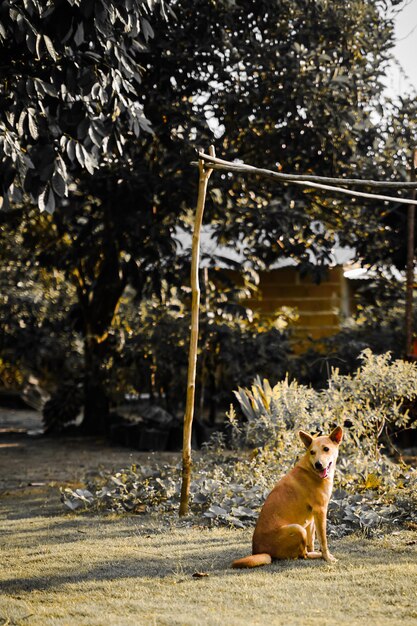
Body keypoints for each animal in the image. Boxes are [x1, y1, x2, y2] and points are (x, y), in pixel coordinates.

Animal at [231, 424, 342, 564]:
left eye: (326, 449)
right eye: (312, 452)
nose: (318, 464)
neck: (311, 469)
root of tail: (259, 551)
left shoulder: (312, 517)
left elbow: (311, 540)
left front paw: (318, 551)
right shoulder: (320, 511)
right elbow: (323, 540)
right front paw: (327, 557)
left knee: (305, 551)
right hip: (298, 528)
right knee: (302, 555)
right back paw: (317, 555)